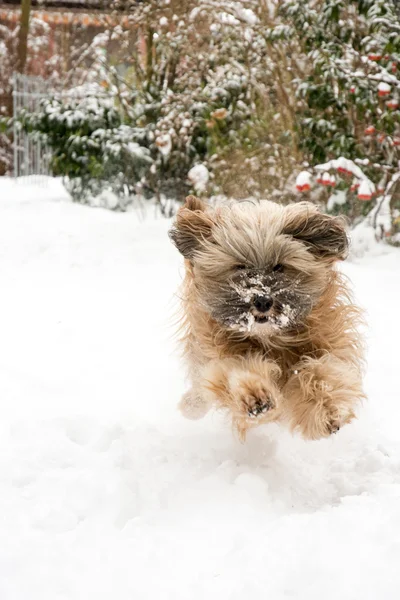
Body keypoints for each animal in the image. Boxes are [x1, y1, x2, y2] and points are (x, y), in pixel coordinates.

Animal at [170, 197, 366, 440]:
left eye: (279, 266)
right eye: (240, 266)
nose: (262, 300)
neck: (271, 339)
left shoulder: (329, 346)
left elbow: (322, 371)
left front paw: (325, 411)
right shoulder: (218, 354)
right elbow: (236, 370)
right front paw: (255, 396)